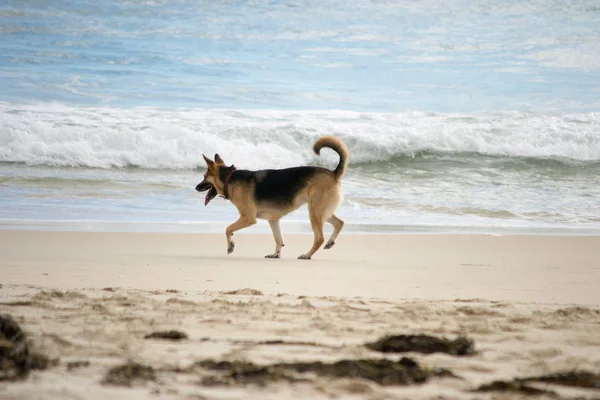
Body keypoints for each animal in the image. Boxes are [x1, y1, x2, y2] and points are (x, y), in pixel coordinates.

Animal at [195, 134, 350, 260]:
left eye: (204, 177)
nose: (196, 187)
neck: (229, 178)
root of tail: (333, 173)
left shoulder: (248, 218)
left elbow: (228, 229)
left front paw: (230, 246)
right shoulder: (273, 220)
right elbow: (278, 239)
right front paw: (276, 254)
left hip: (315, 213)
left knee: (319, 238)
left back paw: (307, 255)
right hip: (321, 211)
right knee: (340, 222)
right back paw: (330, 242)